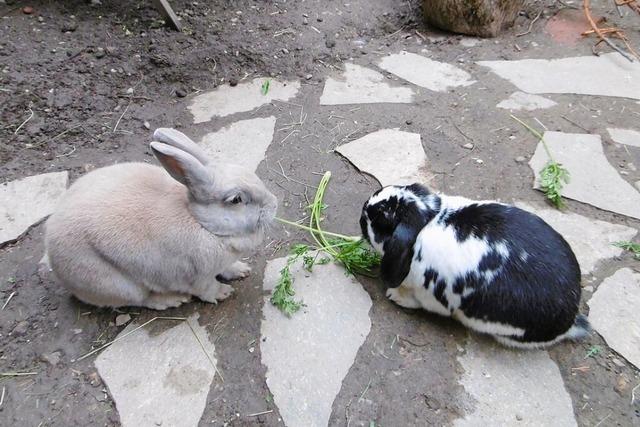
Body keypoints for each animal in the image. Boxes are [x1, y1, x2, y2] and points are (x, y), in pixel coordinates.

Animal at [360, 184, 592, 348]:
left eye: (380, 219)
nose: (362, 214)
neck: (428, 219)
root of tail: (570, 320)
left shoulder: (430, 295)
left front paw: (395, 295)